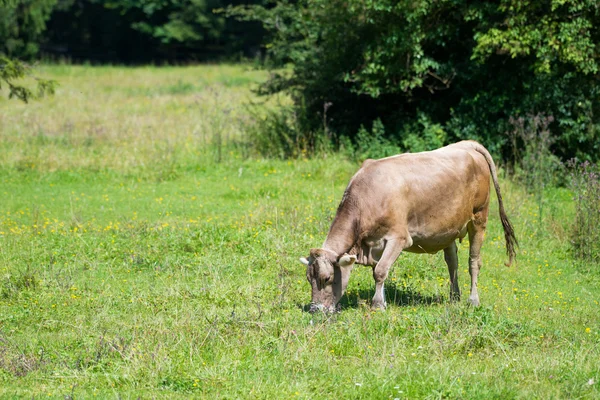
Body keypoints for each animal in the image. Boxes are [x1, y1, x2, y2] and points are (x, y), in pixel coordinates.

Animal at [300, 141, 516, 312]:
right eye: (309, 279)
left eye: (327, 278)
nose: (315, 309)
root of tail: (467, 144)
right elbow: (379, 270)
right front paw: (382, 301)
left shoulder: (399, 237)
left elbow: (380, 271)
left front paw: (377, 305)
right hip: (449, 228)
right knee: (452, 262)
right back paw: (454, 297)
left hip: (479, 217)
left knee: (474, 261)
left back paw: (473, 300)